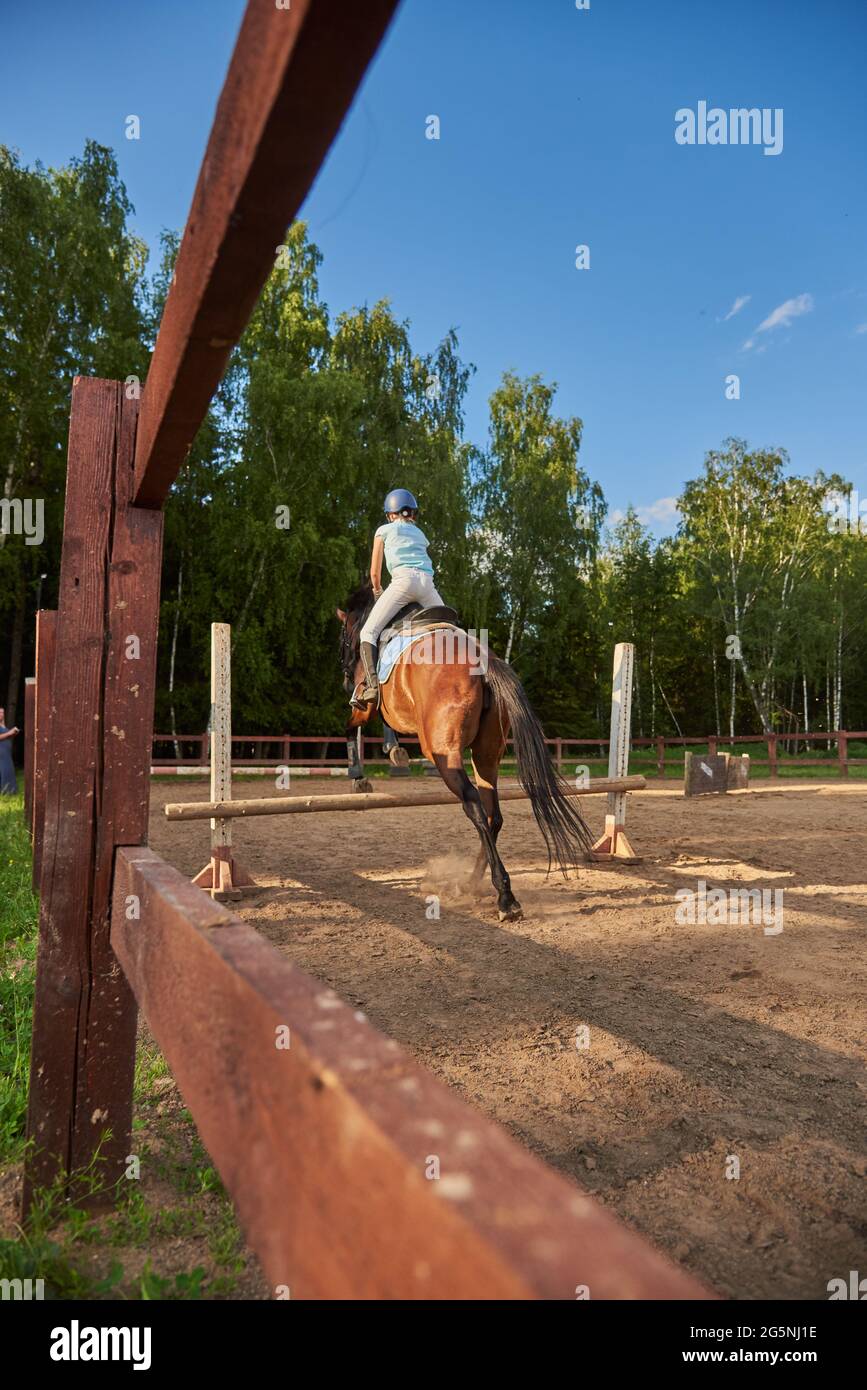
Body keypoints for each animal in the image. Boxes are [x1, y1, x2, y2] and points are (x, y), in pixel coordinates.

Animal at [336, 582, 593, 920]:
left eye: (342, 638)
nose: (344, 679)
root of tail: (485, 663)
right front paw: (392, 754)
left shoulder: (365, 706)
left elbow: (354, 726)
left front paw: (362, 772)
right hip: (486, 754)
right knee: (493, 813)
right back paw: (473, 883)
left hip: (444, 754)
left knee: (474, 806)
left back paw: (505, 897)